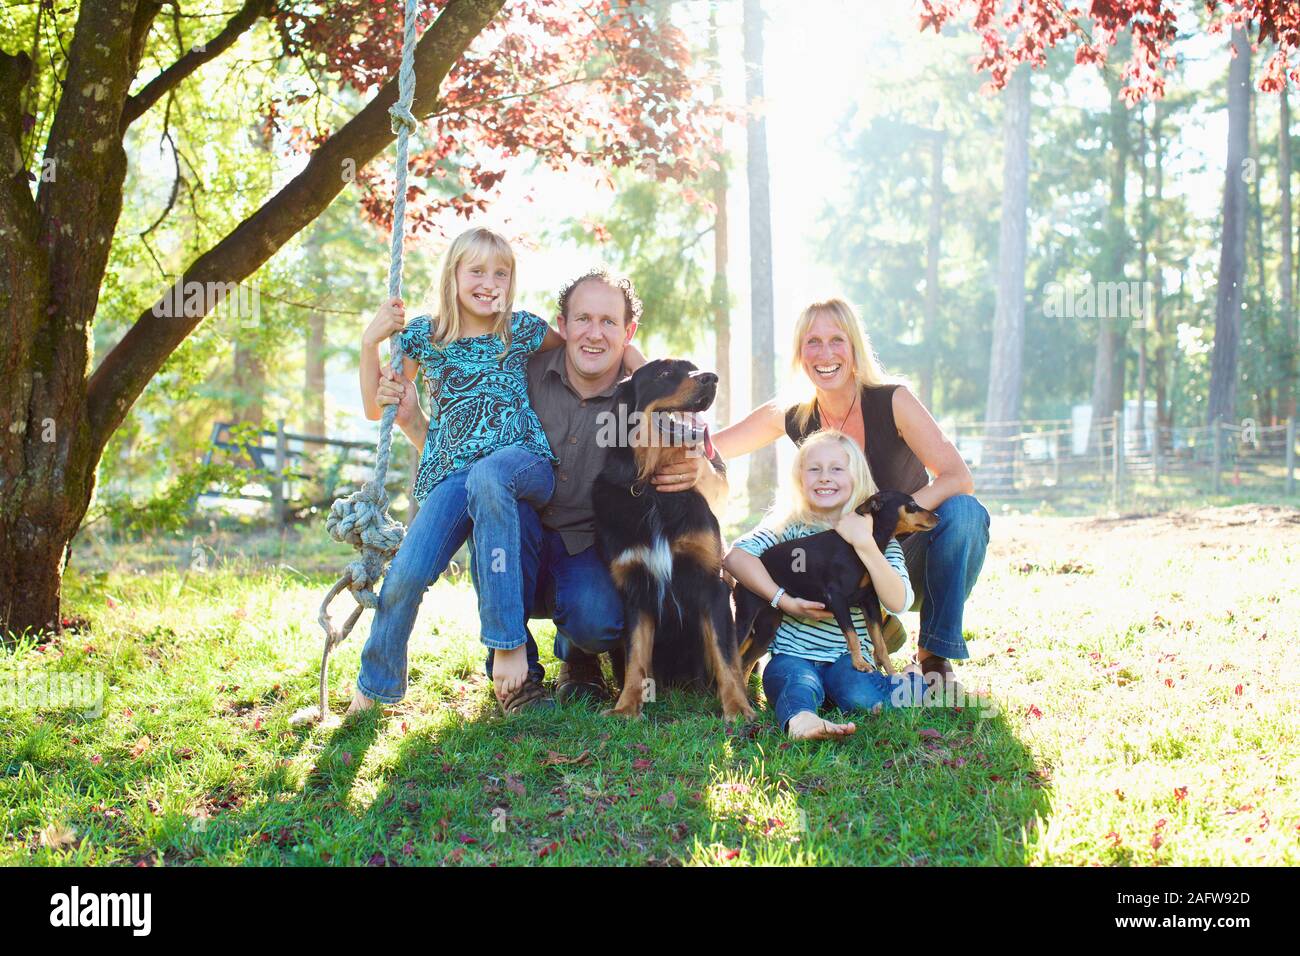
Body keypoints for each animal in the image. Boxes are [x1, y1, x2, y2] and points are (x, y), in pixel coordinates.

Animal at [595, 358, 759, 717]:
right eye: (664, 373)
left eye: (694, 367)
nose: (711, 378)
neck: (654, 489)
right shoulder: (635, 590)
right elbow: (636, 656)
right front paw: (626, 707)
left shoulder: (714, 584)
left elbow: (726, 657)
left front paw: (737, 708)